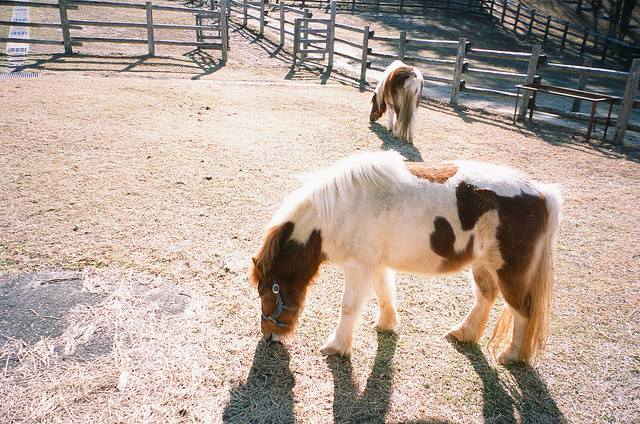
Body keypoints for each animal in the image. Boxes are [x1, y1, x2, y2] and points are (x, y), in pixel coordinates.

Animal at [250, 151, 560, 366]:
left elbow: (349, 307)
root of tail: (543, 194)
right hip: (483, 265)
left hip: (510, 271)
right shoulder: (375, 265)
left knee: (522, 310)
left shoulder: (358, 267)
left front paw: (337, 346)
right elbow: (384, 293)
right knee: (486, 296)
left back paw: (511, 355)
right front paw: (386, 325)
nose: (269, 336)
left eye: (266, 292)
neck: (340, 210)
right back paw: (464, 333)